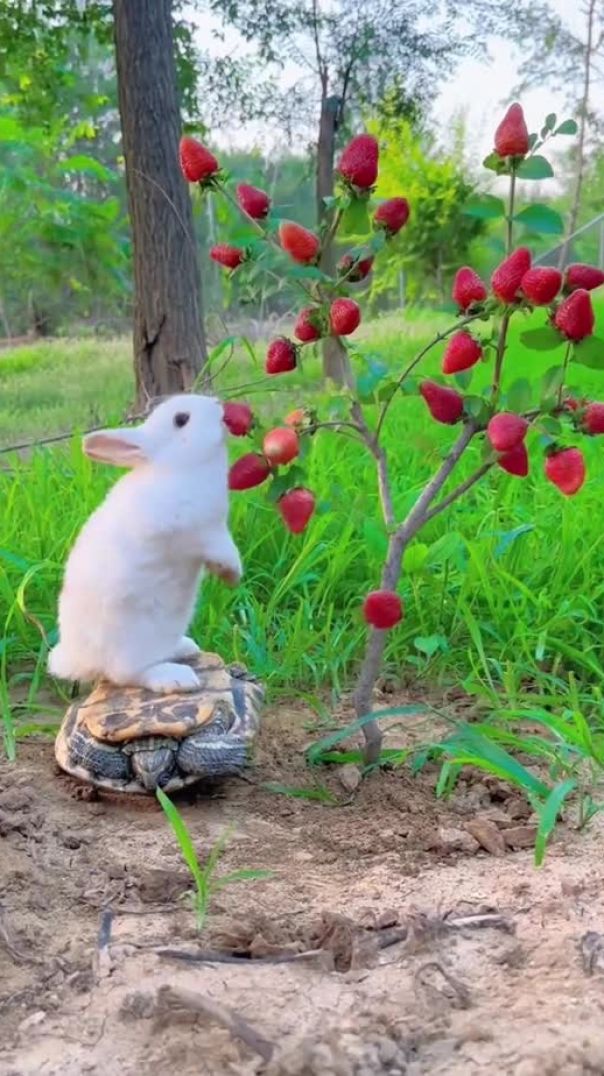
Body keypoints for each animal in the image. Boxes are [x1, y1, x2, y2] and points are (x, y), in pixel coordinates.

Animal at [47, 393, 240, 688]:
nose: (218, 404)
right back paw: (176, 677)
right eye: (181, 419)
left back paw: (185, 647)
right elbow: (226, 551)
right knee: (126, 674)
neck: (176, 467)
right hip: (132, 643)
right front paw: (232, 574)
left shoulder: (212, 530)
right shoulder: (203, 533)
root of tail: (80, 661)